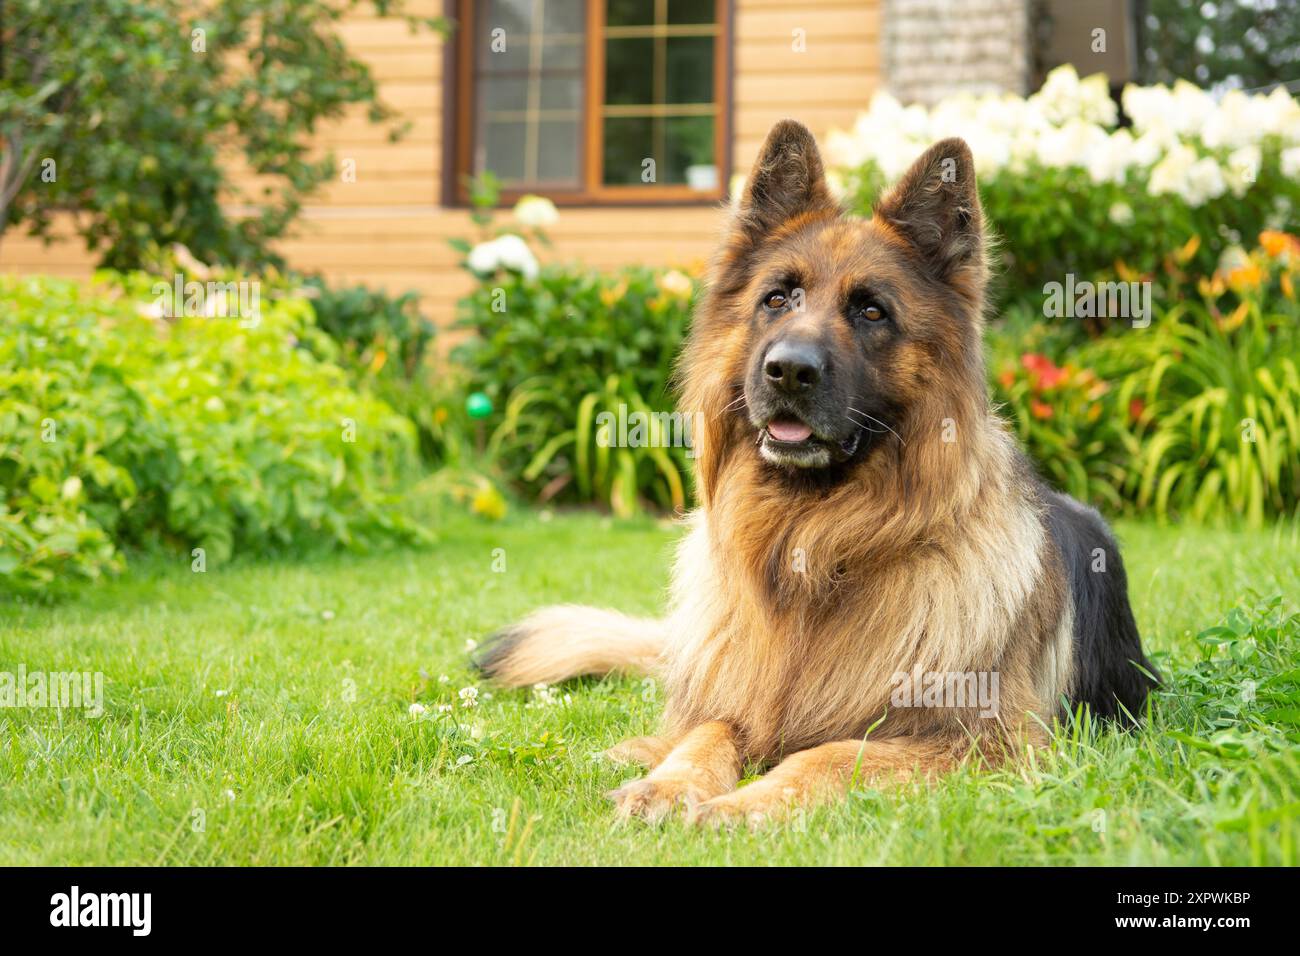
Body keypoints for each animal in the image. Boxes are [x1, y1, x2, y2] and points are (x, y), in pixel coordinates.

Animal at [475, 117, 1159, 822]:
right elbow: (707, 729)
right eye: (777, 298)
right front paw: (668, 783)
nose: (788, 370)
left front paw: (738, 807)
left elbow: (830, 754)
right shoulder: (737, 699)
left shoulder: (987, 744)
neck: (810, 544)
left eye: (871, 311)